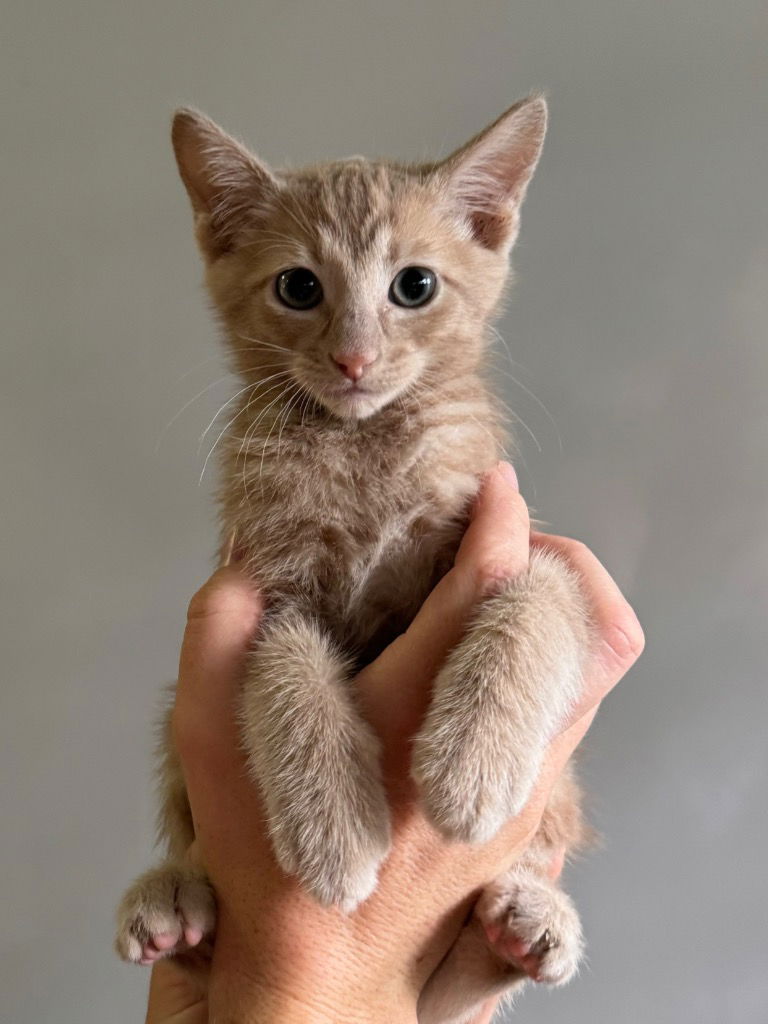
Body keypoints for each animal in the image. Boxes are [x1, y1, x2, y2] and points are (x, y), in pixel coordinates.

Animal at [117, 94, 593, 1015]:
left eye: (416, 286)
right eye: (299, 287)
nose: (355, 357)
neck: (363, 446)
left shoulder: (511, 526)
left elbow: (544, 589)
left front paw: (474, 762)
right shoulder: (263, 581)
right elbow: (283, 661)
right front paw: (332, 828)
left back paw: (530, 920)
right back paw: (171, 902)